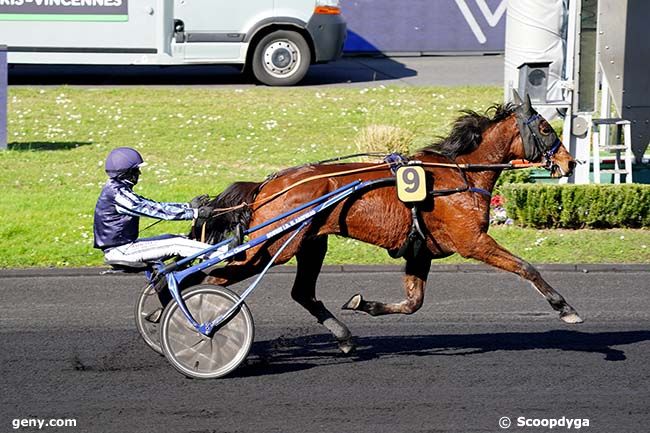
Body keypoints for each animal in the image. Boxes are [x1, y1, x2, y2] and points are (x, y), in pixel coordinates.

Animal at [192, 93, 576, 352]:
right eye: (545, 128)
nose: (570, 163)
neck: (459, 174)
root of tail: (266, 186)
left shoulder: (420, 251)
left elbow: (413, 303)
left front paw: (365, 305)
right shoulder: (472, 242)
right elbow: (526, 267)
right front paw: (565, 308)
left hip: (310, 243)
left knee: (301, 291)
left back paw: (345, 338)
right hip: (270, 245)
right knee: (213, 277)